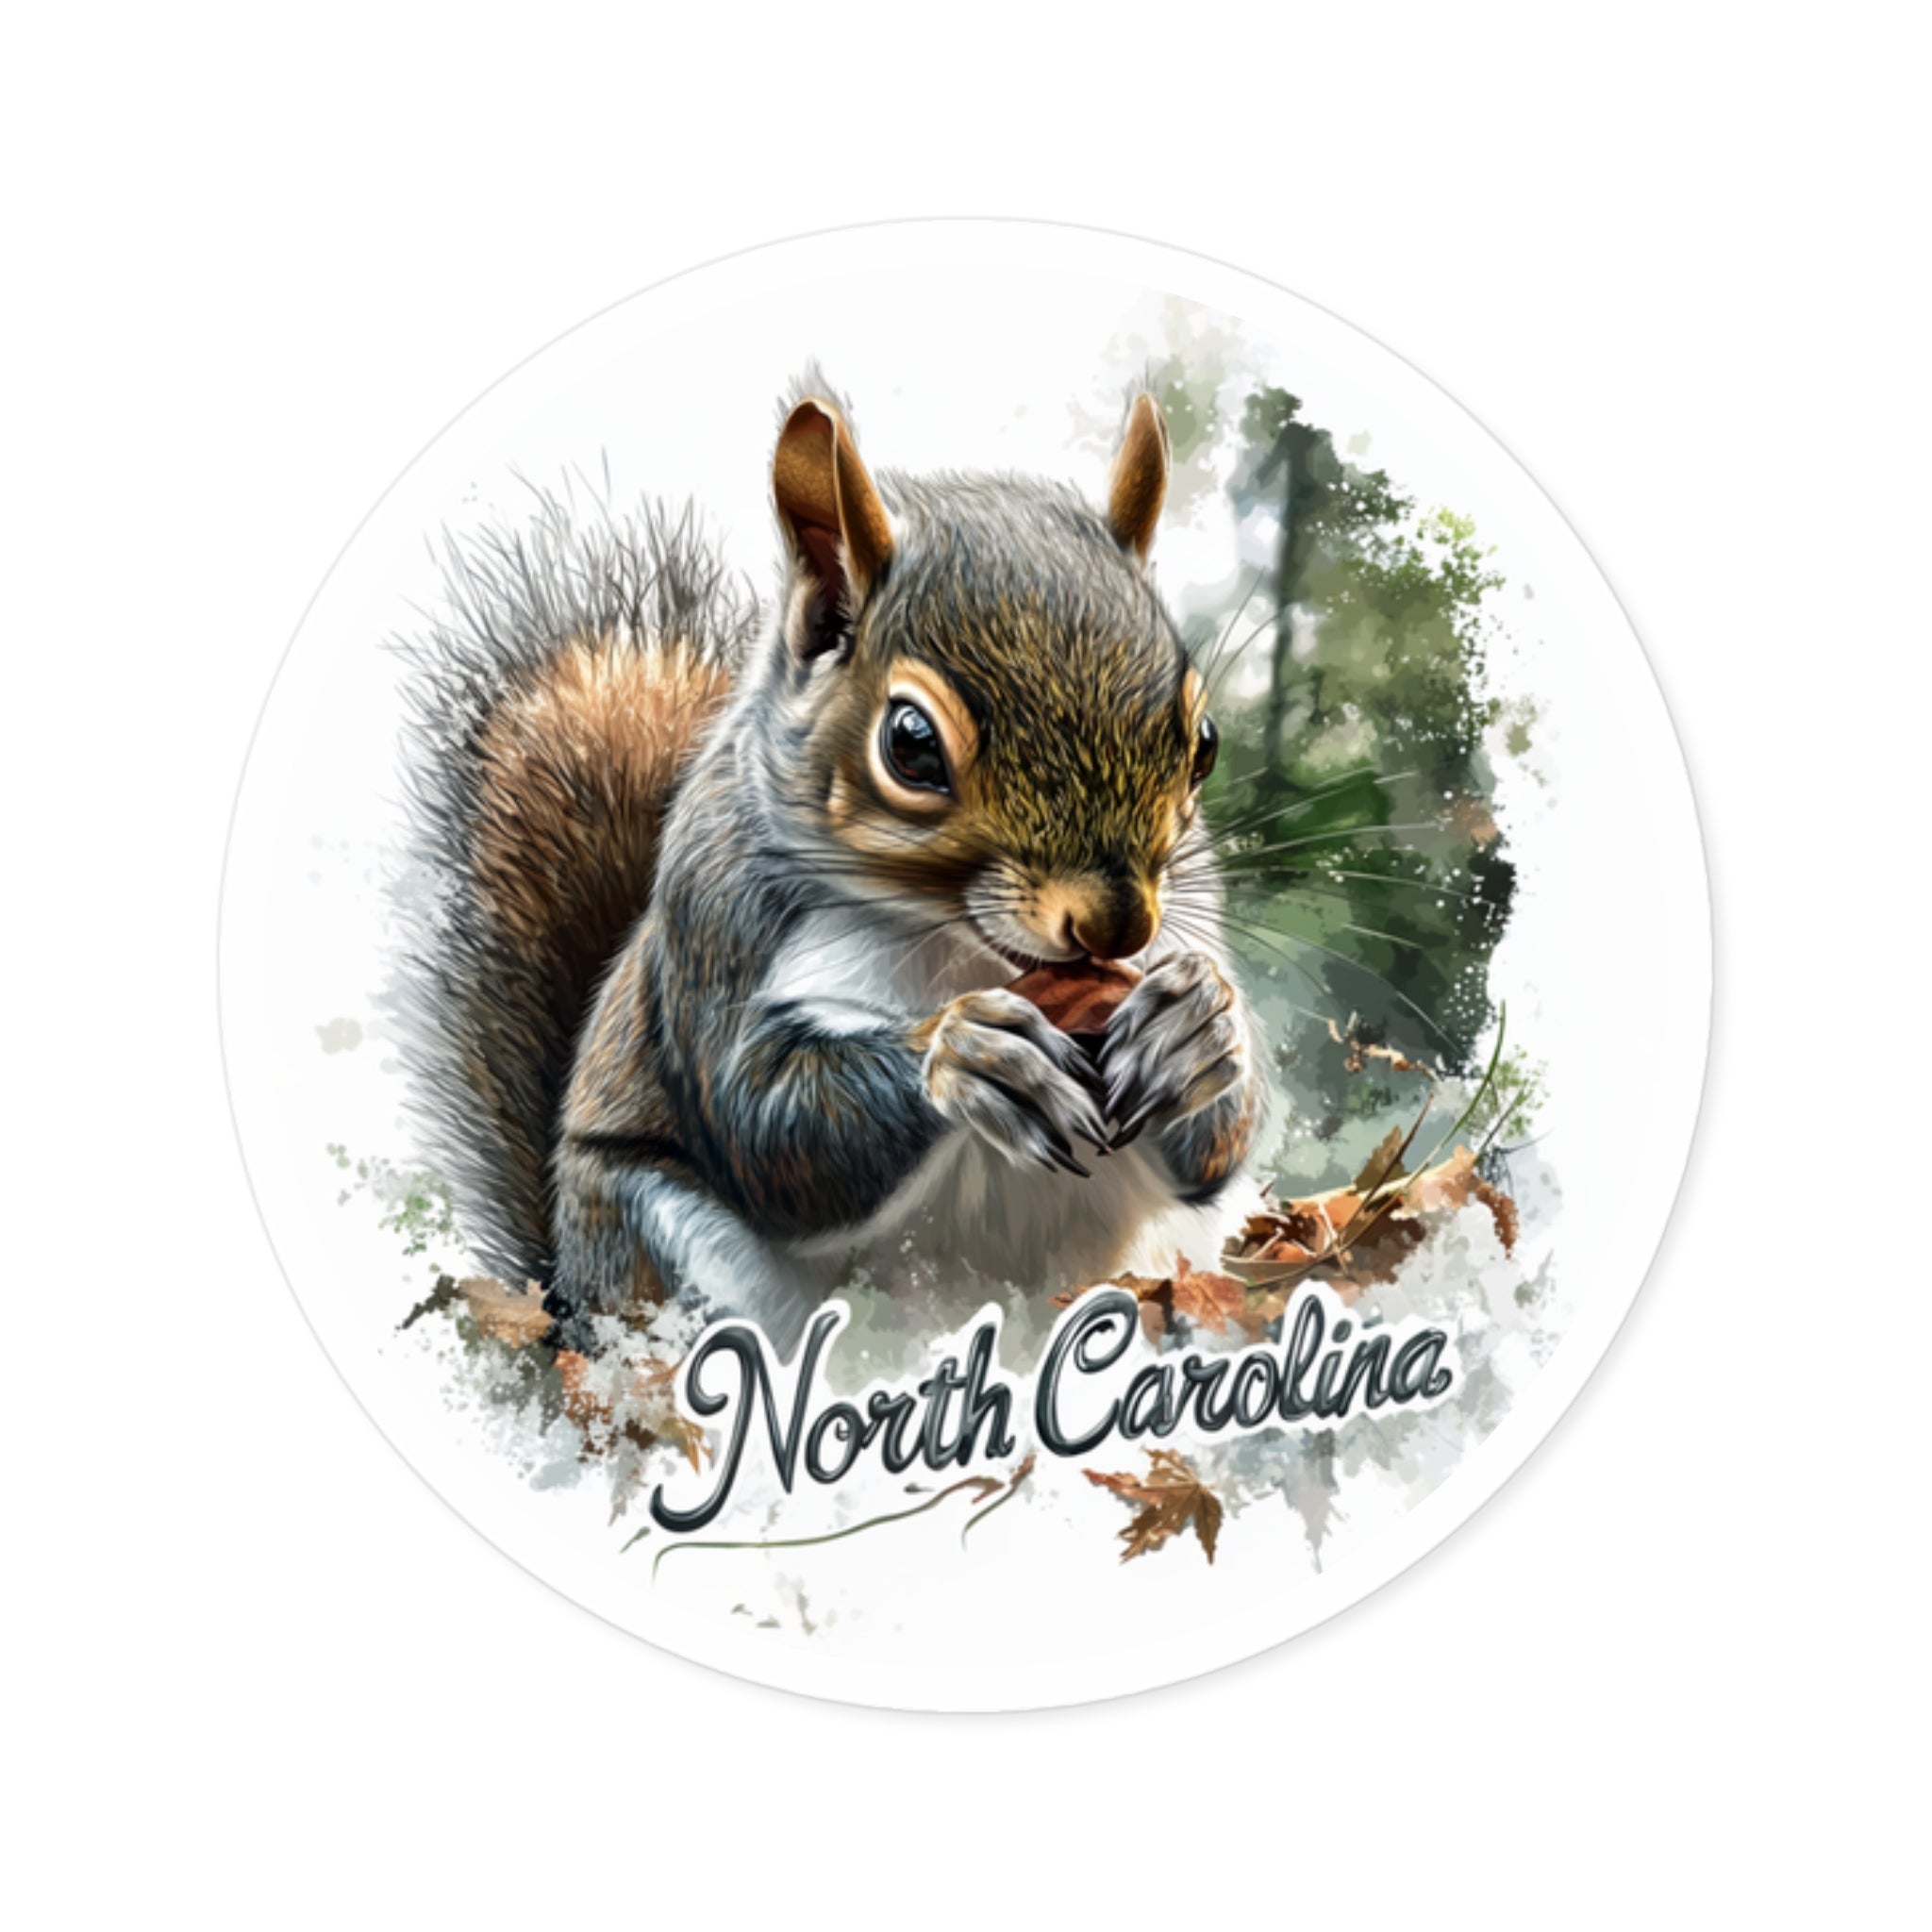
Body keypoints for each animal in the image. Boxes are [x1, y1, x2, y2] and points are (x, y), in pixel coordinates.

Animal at [391, 374, 1266, 1353]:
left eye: (1203, 741)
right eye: (910, 744)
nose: (1118, 924)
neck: (950, 941)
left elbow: (1219, 1141)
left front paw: (1195, 1027)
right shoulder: (716, 921)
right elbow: (767, 1125)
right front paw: (968, 1057)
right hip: (666, 1256)